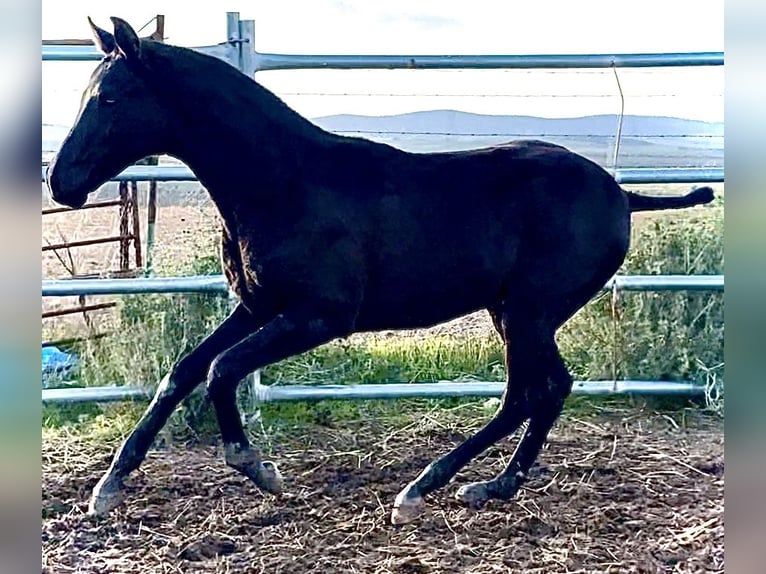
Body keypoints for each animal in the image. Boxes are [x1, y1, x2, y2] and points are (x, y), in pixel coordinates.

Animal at [46, 16, 714, 524]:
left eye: (109, 98)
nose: (62, 182)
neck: (284, 183)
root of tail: (623, 195)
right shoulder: (260, 305)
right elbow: (183, 371)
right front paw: (108, 488)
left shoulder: (320, 316)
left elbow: (220, 370)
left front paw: (258, 468)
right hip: (514, 312)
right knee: (544, 390)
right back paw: (489, 486)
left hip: (529, 312)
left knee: (535, 391)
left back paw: (423, 489)